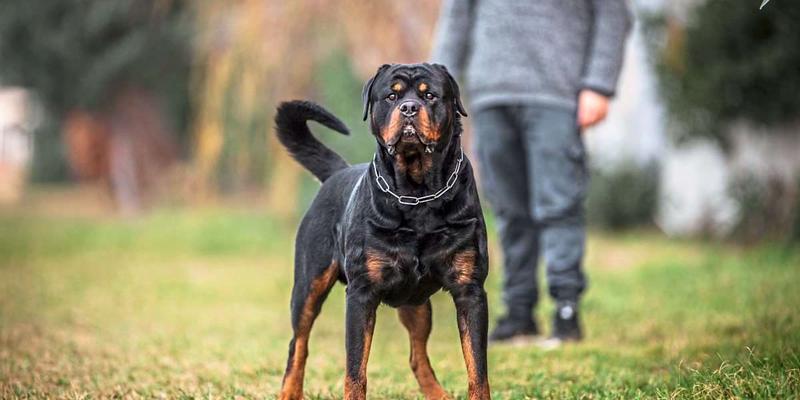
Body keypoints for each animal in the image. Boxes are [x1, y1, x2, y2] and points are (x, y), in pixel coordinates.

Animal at [274, 62, 488, 400]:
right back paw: (290, 392)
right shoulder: (361, 293)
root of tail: (336, 173)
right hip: (309, 283)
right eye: (391, 95)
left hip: (417, 303)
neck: (417, 194)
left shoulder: (470, 289)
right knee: (299, 343)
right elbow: (355, 371)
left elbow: (477, 369)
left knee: (417, 354)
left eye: (430, 95)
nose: (409, 108)